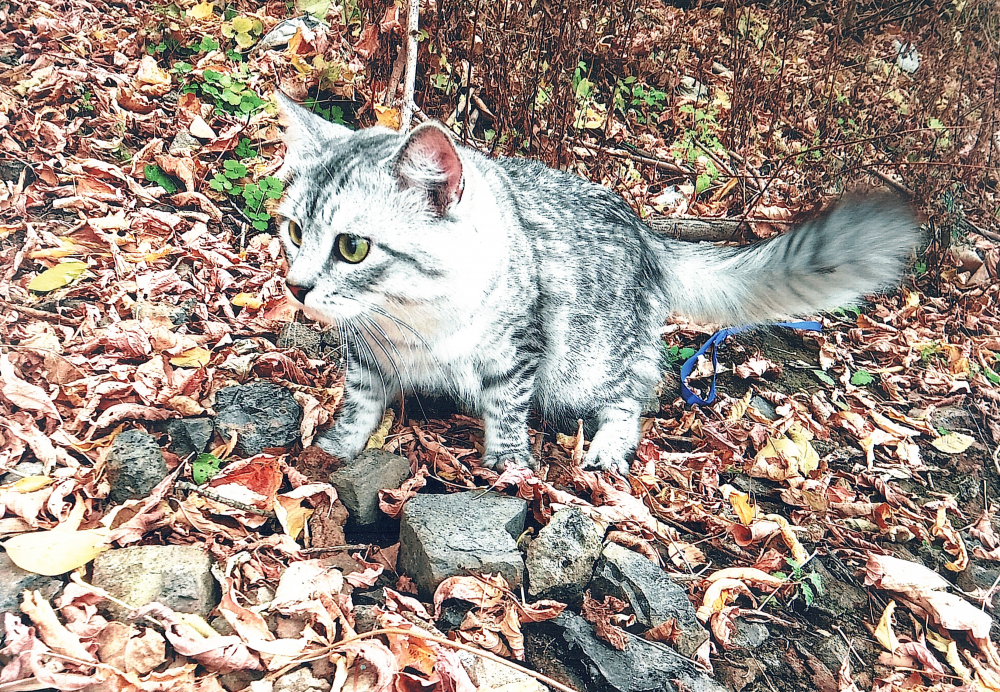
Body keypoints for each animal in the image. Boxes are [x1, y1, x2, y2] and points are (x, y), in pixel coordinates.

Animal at [275, 92, 918, 475]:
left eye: (352, 248)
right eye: (293, 229)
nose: (297, 286)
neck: (414, 323)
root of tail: (647, 233)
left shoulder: (518, 354)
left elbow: (506, 413)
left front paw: (508, 465)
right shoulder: (366, 357)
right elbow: (358, 407)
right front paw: (334, 450)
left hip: (591, 362)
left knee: (632, 400)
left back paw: (606, 449)